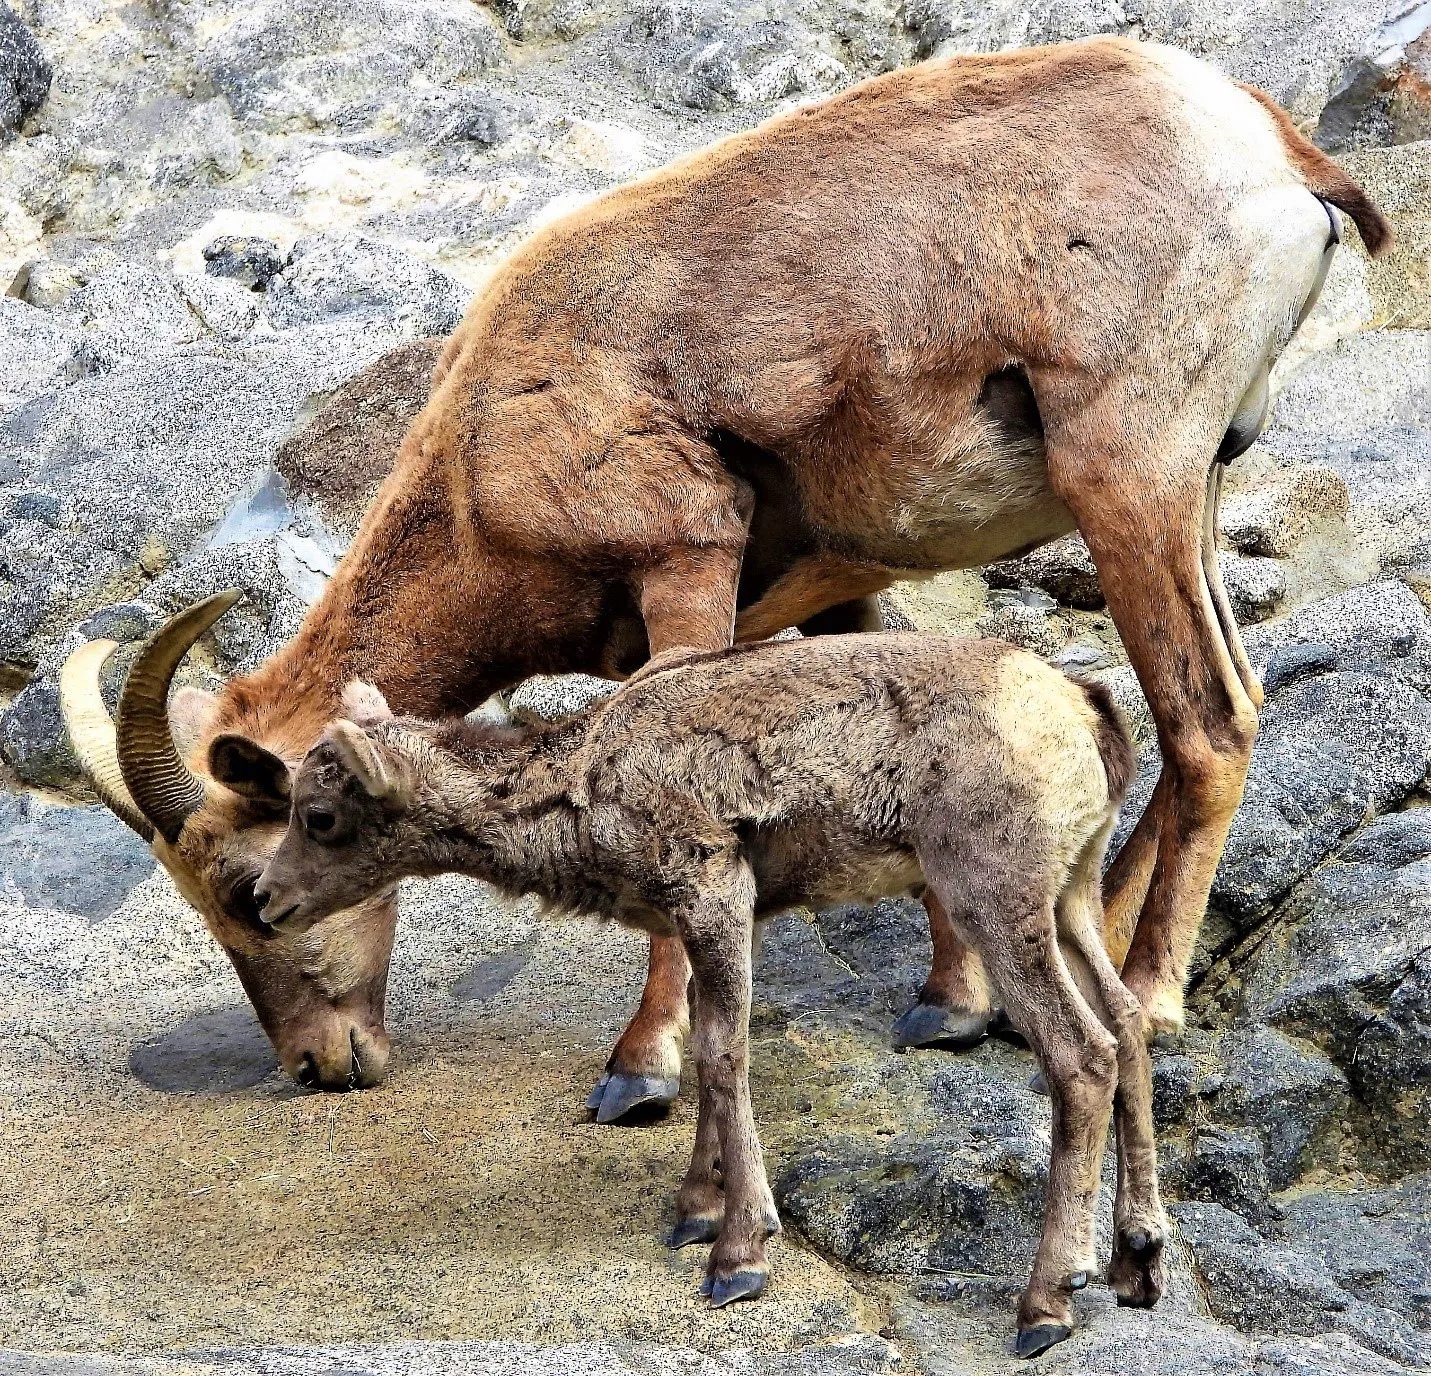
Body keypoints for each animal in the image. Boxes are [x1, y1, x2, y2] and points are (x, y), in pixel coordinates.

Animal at [253, 632, 1158, 1357]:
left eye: (320, 816)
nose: (265, 899)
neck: (578, 797)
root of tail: (1088, 716)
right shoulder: (731, 916)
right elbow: (702, 1046)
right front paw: (694, 1211)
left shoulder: (711, 887)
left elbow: (724, 1055)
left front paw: (738, 1257)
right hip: (1071, 891)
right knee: (1127, 1020)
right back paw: (1136, 1262)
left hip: (993, 893)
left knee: (1081, 1052)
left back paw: (1047, 1304)